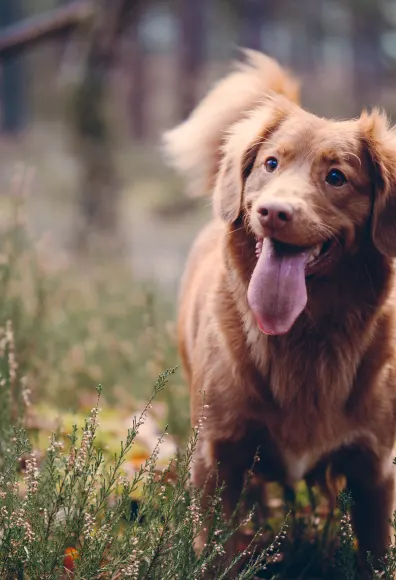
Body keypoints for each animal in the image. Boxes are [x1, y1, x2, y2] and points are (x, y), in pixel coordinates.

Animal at [164, 49, 396, 572]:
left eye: (337, 176)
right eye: (270, 164)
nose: (272, 211)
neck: (304, 336)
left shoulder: (375, 469)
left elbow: (376, 554)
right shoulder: (216, 454)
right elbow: (216, 552)